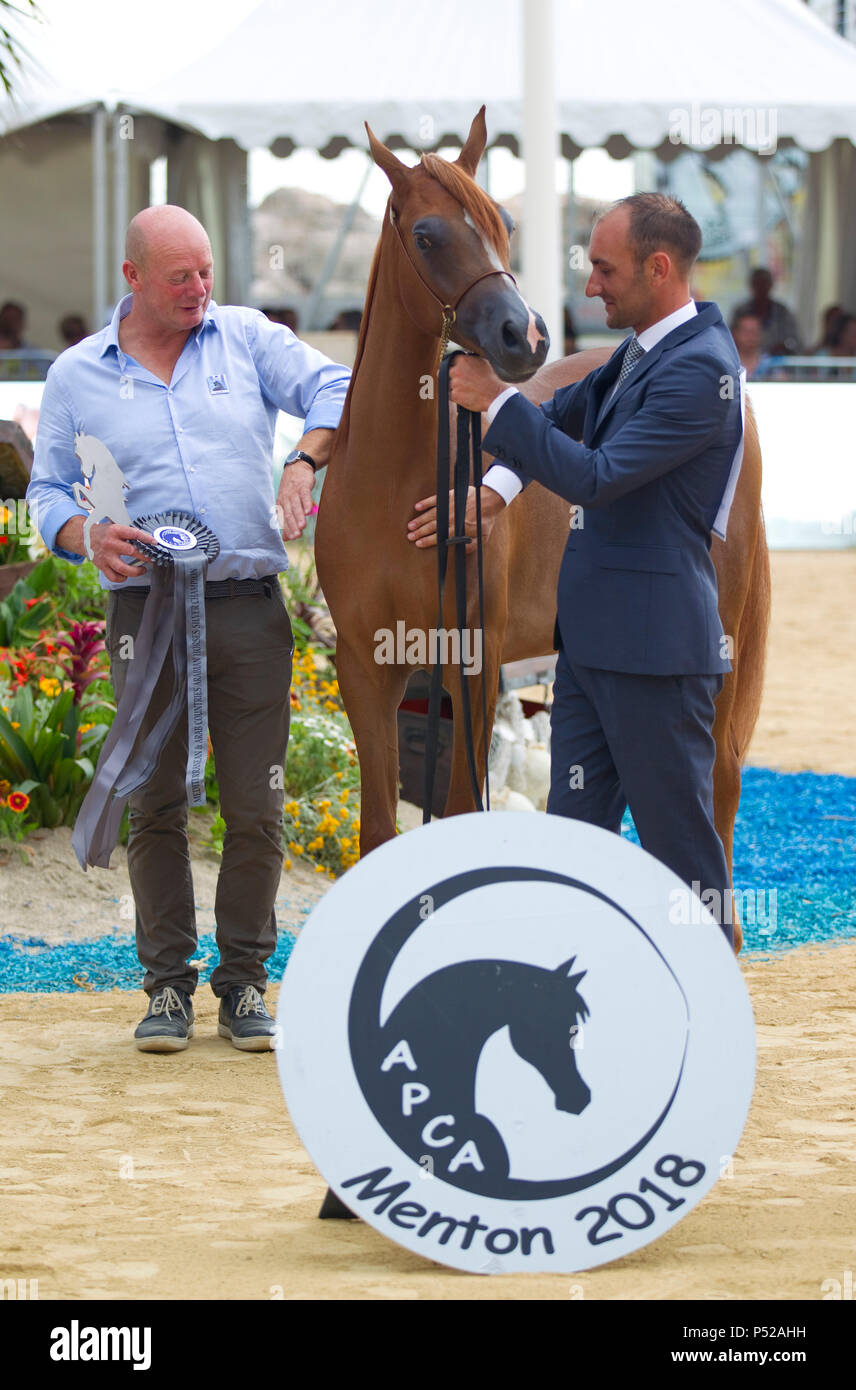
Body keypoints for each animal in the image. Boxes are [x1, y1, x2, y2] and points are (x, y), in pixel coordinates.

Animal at [314, 108, 767, 956]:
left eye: (504, 223)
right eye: (426, 234)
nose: (521, 336)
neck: (395, 483)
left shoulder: (474, 658)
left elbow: (460, 815)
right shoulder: (366, 664)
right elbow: (379, 831)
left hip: (719, 652)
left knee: (713, 789)